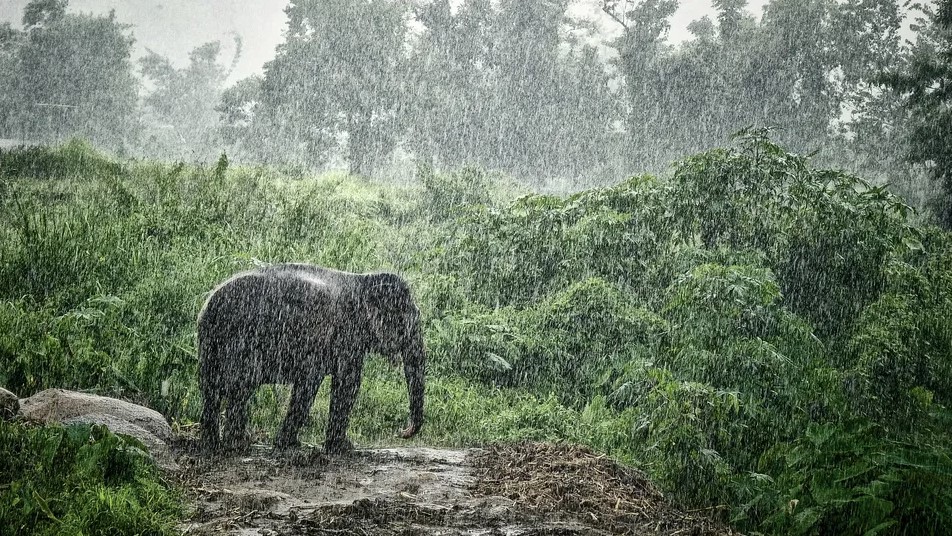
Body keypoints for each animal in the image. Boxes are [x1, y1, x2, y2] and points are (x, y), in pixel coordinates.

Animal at [197, 264, 424, 452]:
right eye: (406, 323)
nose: (401, 432)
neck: (364, 279)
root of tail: (210, 307)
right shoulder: (345, 333)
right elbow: (345, 384)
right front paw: (342, 448)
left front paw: (292, 444)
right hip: (242, 340)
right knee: (240, 388)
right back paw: (238, 444)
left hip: (210, 346)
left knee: (211, 389)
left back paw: (212, 444)